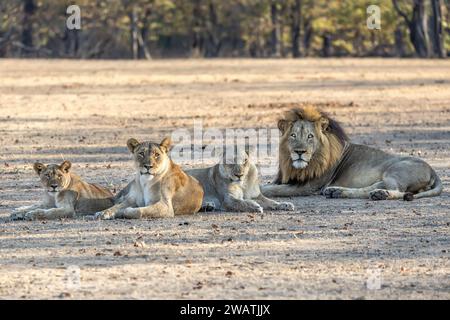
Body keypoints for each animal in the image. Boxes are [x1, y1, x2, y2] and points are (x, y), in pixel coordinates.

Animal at [262, 106, 442, 201]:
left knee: (400, 191)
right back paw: (337, 191)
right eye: (293, 135)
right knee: (373, 187)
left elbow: (272, 189)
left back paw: (382, 194)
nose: (299, 152)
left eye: (310, 136)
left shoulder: (309, 186)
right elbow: (269, 185)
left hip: (395, 172)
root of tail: (433, 171)